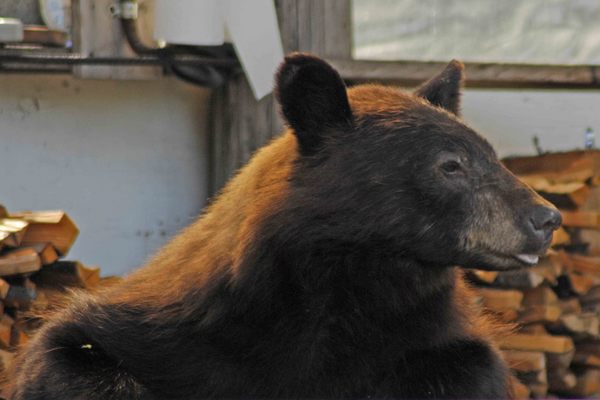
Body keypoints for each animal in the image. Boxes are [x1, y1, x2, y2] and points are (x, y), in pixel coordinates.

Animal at [10, 54, 564, 400]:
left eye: (492, 153)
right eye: (451, 165)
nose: (547, 218)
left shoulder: (421, 342)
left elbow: (467, 369)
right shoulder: (180, 337)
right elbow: (73, 357)